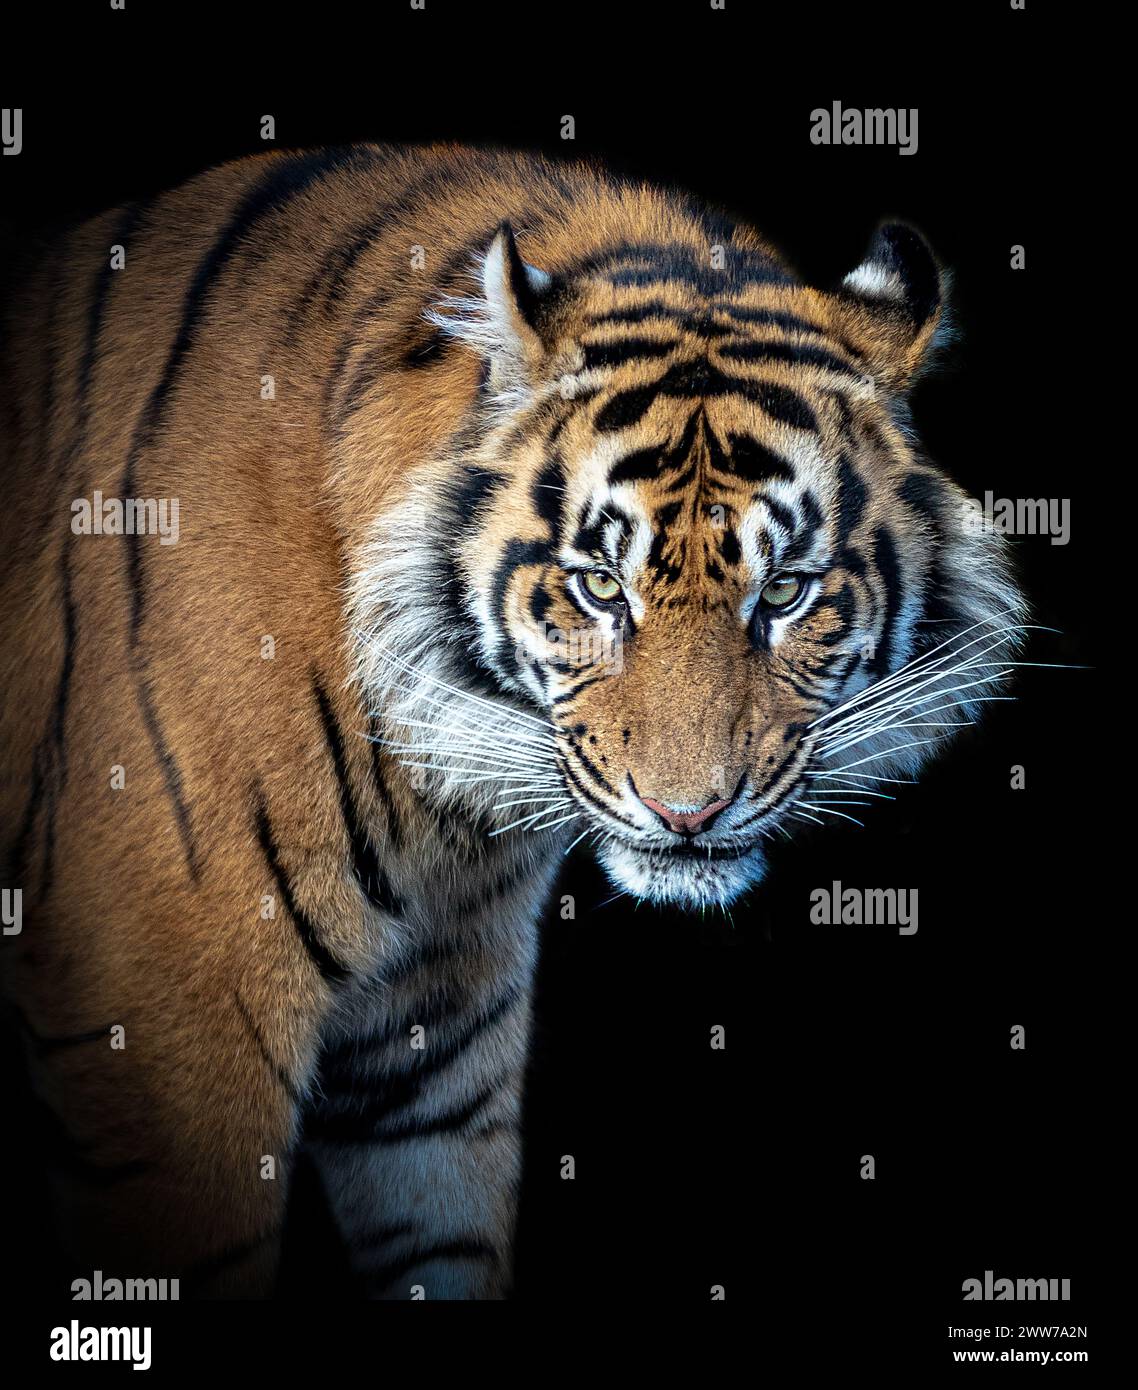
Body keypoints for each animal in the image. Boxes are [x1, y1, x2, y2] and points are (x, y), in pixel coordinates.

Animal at [0, 138, 1022, 1289]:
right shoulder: (165, 1018)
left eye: (787, 592)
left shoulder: (436, 1041)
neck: (443, 809)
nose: (688, 817)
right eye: (599, 587)